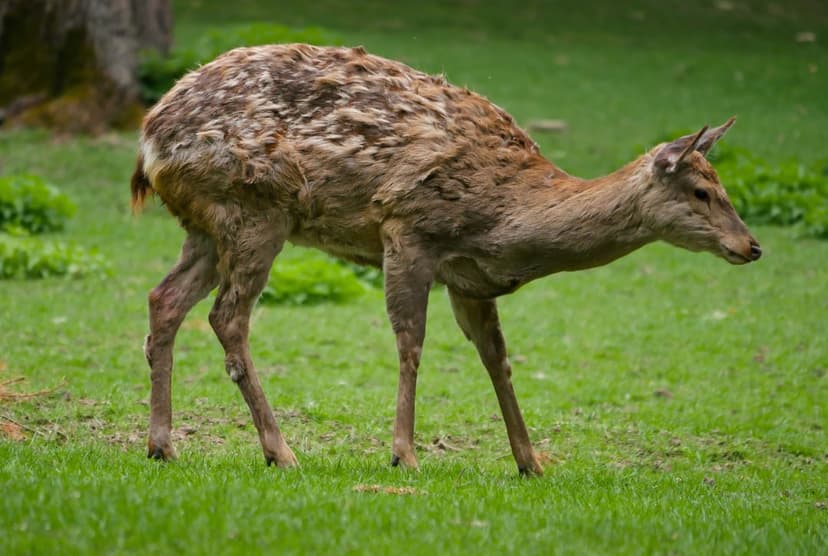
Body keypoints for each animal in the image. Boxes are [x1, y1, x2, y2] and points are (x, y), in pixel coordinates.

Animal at [130, 44, 761, 476]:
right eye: (701, 191)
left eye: (722, 184)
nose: (751, 245)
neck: (505, 222)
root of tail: (148, 142)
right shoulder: (408, 229)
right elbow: (411, 342)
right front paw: (404, 455)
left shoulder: (471, 279)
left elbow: (497, 358)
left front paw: (531, 461)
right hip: (255, 209)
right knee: (227, 316)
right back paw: (280, 451)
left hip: (207, 227)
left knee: (164, 298)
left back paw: (162, 444)